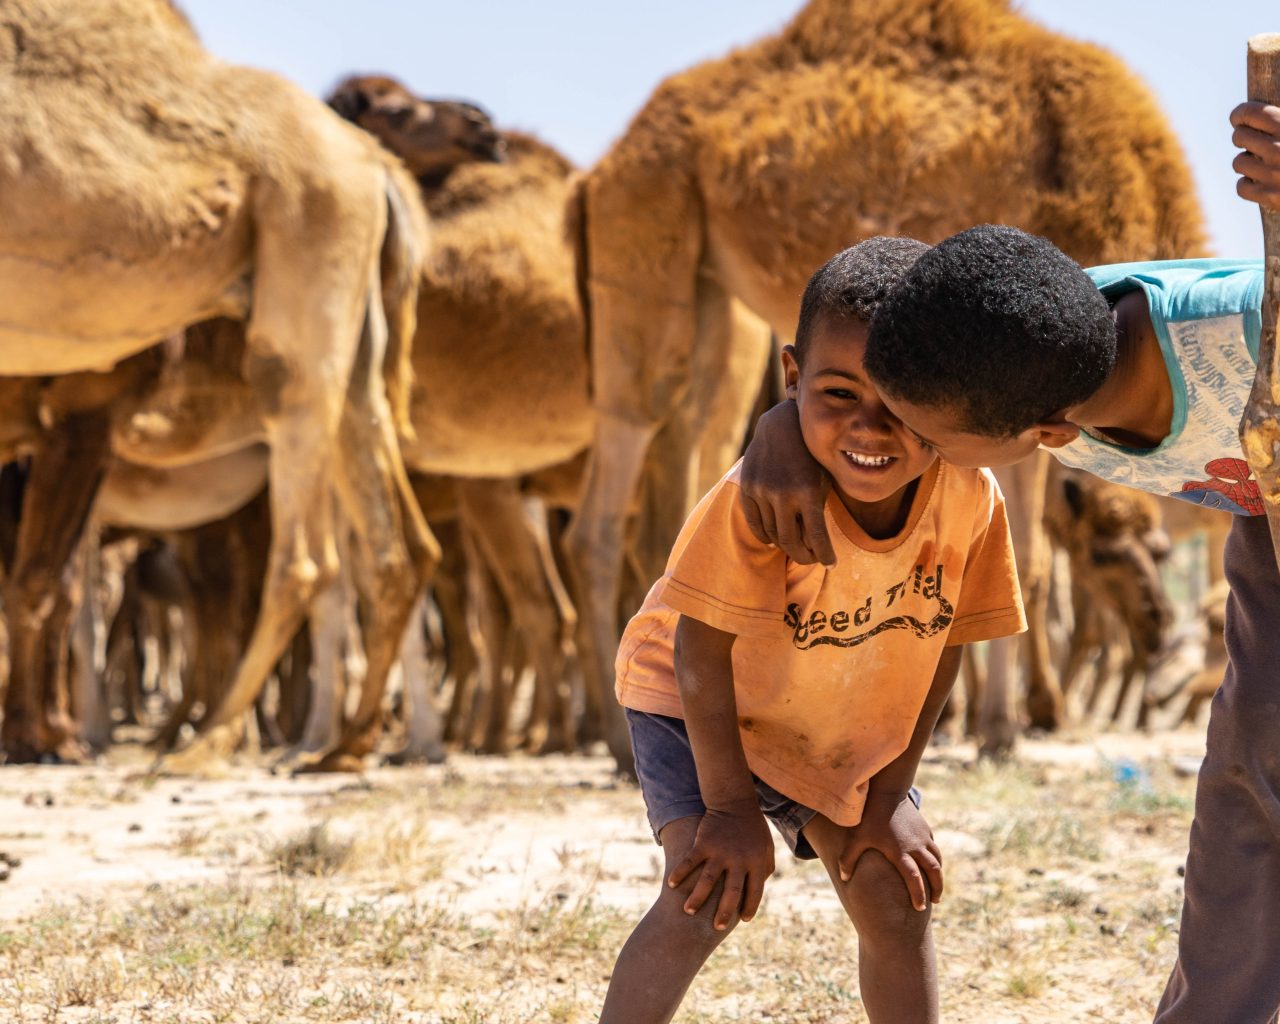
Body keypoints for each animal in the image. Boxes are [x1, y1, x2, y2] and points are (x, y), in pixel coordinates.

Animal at [0, 0, 435, 768]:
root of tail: (375, 168)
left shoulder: (71, 422)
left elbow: (37, 584)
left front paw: (37, 740)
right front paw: (45, 737)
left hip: (306, 253)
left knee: (303, 562)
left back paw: (211, 741)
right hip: (351, 332)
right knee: (394, 545)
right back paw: (340, 747)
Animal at [570, 0, 1208, 768]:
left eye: (1162, 553)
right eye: (1108, 555)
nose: (1160, 625)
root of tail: (601, 170)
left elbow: (1020, 558)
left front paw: (1002, 723)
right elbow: (1032, 557)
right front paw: (1000, 730)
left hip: (708, 286)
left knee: (679, 447)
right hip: (646, 233)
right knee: (617, 468)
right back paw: (617, 739)